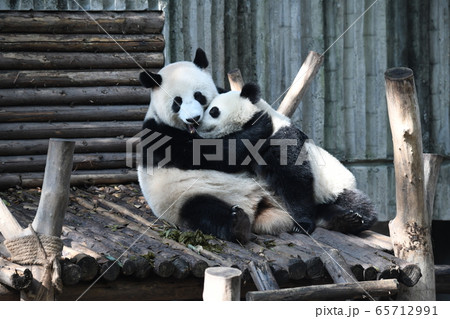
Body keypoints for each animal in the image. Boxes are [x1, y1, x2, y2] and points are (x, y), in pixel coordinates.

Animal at [139, 49, 298, 242]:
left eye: (198, 95)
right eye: (177, 102)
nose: (193, 119)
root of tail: (256, 204)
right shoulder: (161, 136)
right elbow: (213, 154)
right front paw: (259, 126)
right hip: (184, 196)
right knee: (205, 211)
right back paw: (238, 224)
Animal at [196, 82, 376, 235]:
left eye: (213, 111)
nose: (197, 124)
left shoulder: (281, 138)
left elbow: (295, 180)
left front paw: (302, 225)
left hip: (336, 187)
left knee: (357, 203)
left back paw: (351, 219)